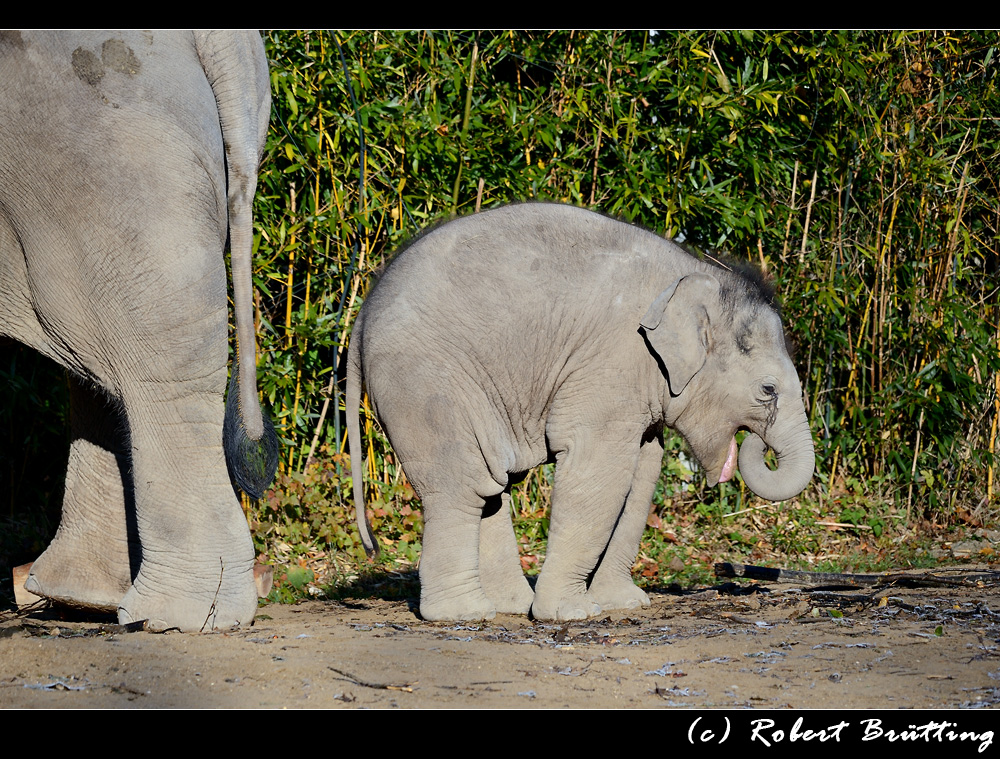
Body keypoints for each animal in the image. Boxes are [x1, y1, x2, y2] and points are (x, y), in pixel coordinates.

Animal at [348, 203, 816, 624]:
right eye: (768, 390)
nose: (758, 442)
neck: (695, 274)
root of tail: (362, 312)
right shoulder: (612, 363)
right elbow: (600, 469)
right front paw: (571, 614)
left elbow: (642, 474)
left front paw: (626, 604)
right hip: (424, 383)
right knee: (462, 484)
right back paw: (463, 614)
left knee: (490, 485)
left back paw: (509, 607)